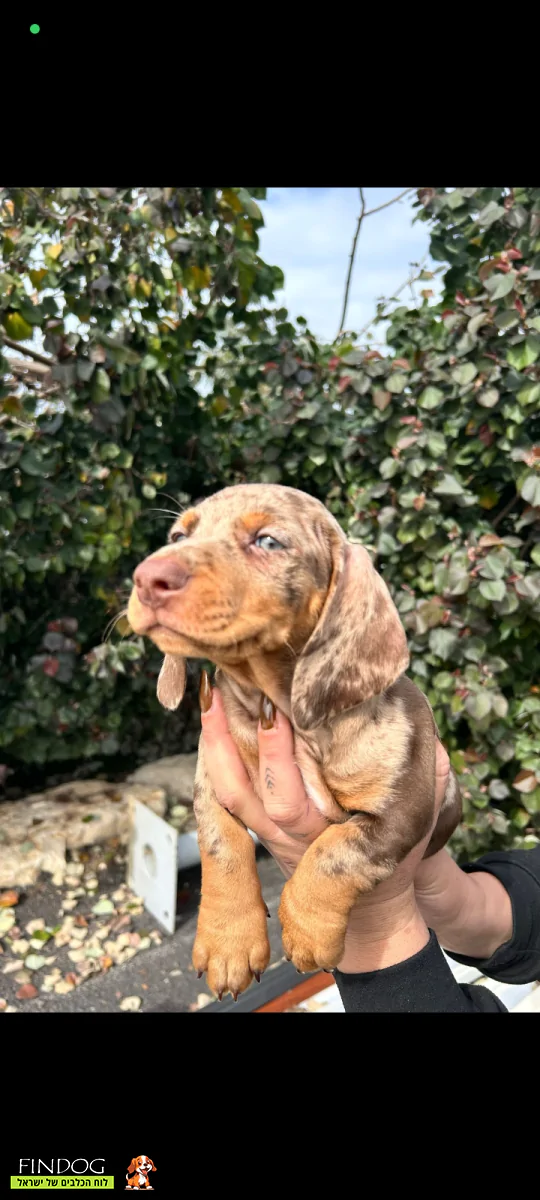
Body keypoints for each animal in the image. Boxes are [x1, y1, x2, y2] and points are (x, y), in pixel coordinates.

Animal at [128, 483, 461, 998]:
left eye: (268, 541)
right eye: (179, 535)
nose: (147, 578)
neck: (284, 709)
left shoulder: (405, 807)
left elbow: (338, 852)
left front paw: (306, 928)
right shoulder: (211, 780)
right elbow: (222, 846)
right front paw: (229, 942)